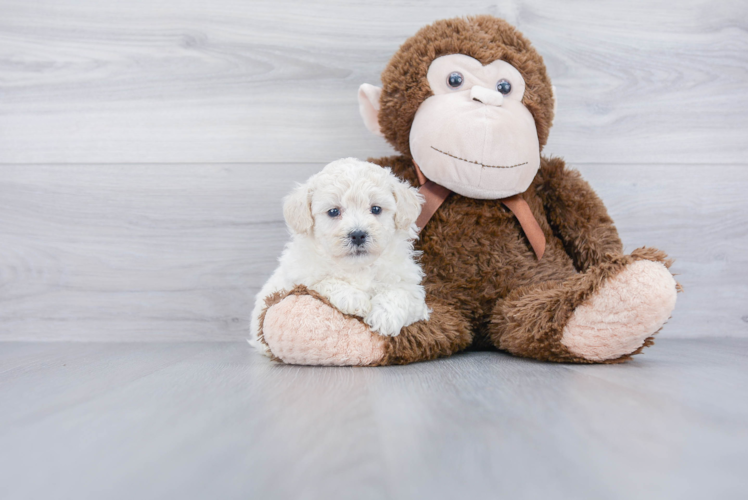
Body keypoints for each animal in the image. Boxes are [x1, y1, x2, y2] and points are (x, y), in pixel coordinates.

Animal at [248, 157, 430, 356]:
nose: (358, 234)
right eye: (333, 212)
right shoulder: (299, 278)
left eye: (376, 209)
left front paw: (385, 316)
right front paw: (355, 299)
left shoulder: (411, 289)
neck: (357, 267)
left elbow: (400, 293)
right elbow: (324, 281)